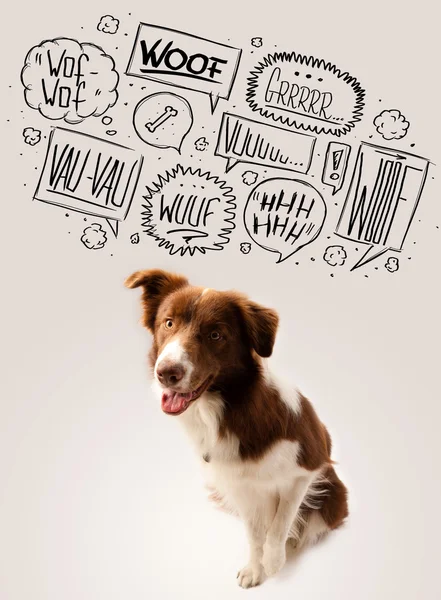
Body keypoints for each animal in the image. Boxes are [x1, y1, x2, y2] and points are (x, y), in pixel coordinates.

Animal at [125, 270, 348, 588]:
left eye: (215, 335)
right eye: (168, 323)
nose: (166, 373)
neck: (225, 411)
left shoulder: (307, 467)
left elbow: (281, 521)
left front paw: (274, 560)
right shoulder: (239, 486)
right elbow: (255, 534)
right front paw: (255, 569)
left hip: (333, 499)